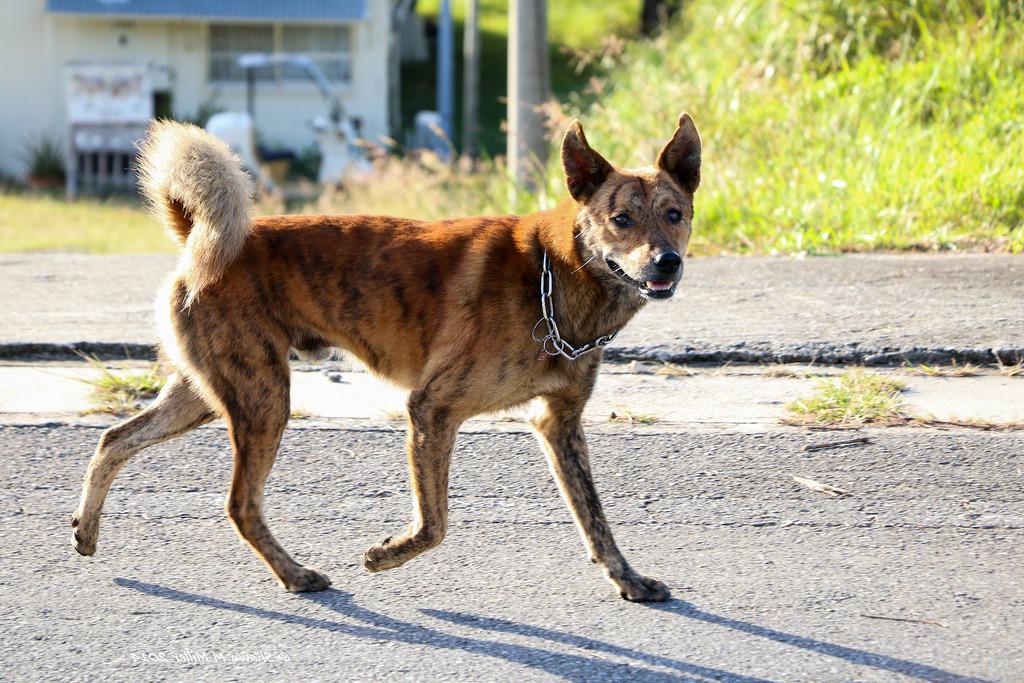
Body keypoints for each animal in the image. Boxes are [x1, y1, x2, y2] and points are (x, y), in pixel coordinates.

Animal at [70, 113, 696, 602]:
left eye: (675, 214)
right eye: (621, 219)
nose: (666, 262)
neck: (554, 271)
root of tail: (197, 234)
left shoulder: (558, 423)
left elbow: (596, 519)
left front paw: (629, 580)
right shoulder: (432, 409)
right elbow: (435, 523)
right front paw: (386, 554)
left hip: (205, 394)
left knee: (114, 440)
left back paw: (86, 529)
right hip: (263, 399)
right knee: (240, 504)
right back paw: (294, 575)